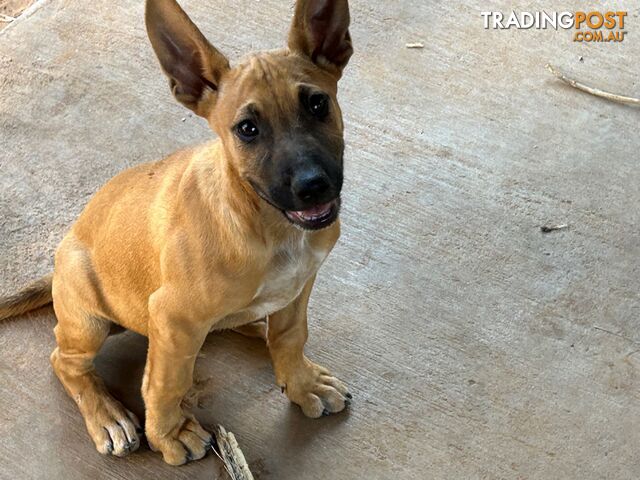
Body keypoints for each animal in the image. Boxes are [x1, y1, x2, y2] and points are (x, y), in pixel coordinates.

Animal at [0, 0, 350, 464]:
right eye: (247, 129)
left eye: (317, 104)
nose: (313, 186)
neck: (265, 223)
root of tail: (55, 268)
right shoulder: (172, 315)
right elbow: (166, 384)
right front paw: (171, 434)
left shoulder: (299, 288)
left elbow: (291, 336)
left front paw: (302, 383)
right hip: (89, 320)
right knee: (65, 360)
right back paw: (107, 415)